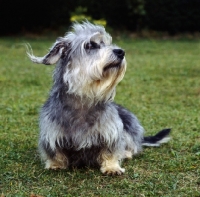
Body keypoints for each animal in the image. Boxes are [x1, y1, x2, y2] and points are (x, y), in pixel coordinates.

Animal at [27, 21, 171, 175]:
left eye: (108, 43)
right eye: (90, 45)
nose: (121, 52)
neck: (84, 99)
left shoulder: (112, 133)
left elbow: (111, 151)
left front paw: (112, 167)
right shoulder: (51, 134)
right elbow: (55, 153)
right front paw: (56, 164)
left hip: (129, 124)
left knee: (133, 146)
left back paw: (126, 153)